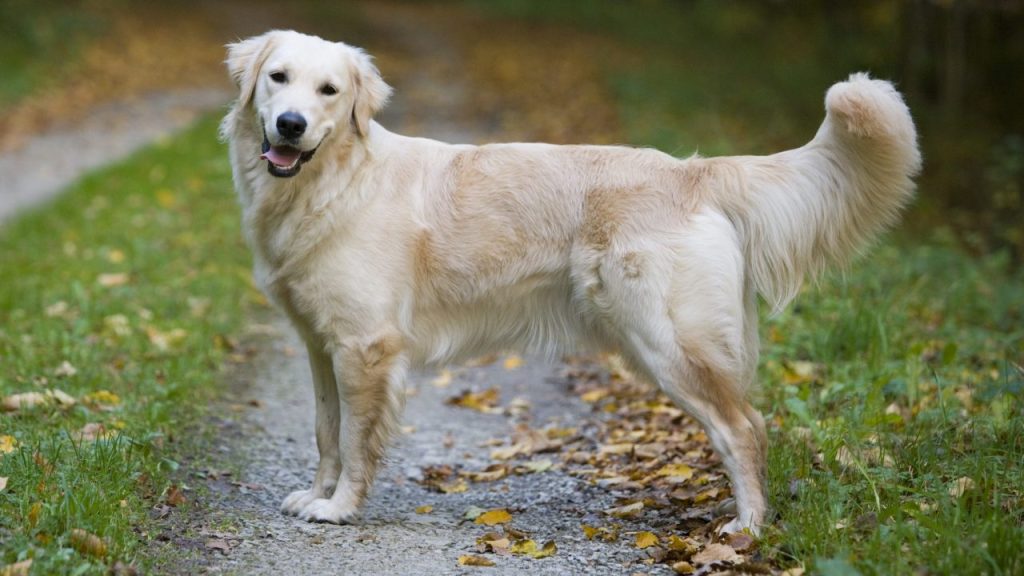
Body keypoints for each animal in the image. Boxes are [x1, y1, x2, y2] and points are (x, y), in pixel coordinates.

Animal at [222, 29, 921, 532]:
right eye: (278, 79)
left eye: (330, 91)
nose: (290, 124)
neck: (333, 181)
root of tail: (694, 171)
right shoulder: (322, 347)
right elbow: (326, 432)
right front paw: (315, 495)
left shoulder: (366, 347)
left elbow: (355, 439)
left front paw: (340, 508)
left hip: (669, 343)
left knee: (744, 429)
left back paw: (747, 530)